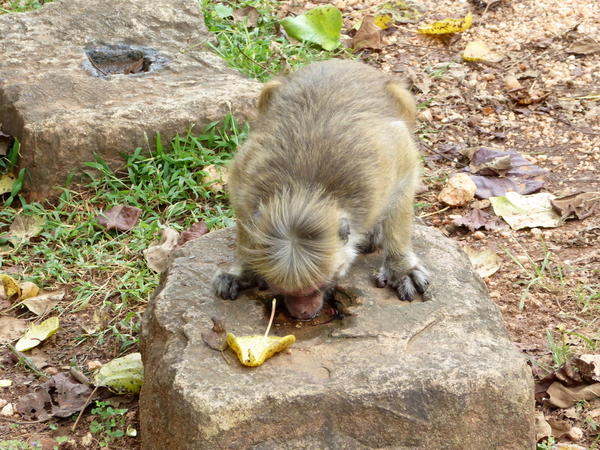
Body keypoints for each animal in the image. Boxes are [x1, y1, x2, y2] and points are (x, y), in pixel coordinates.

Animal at [216, 59, 432, 320]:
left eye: (318, 287)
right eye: (282, 289)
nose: (302, 313)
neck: (303, 191)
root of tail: (343, 61)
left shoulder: (384, 167)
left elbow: (405, 172)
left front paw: (400, 267)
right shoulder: (247, 174)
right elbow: (238, 194)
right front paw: (244, 268)